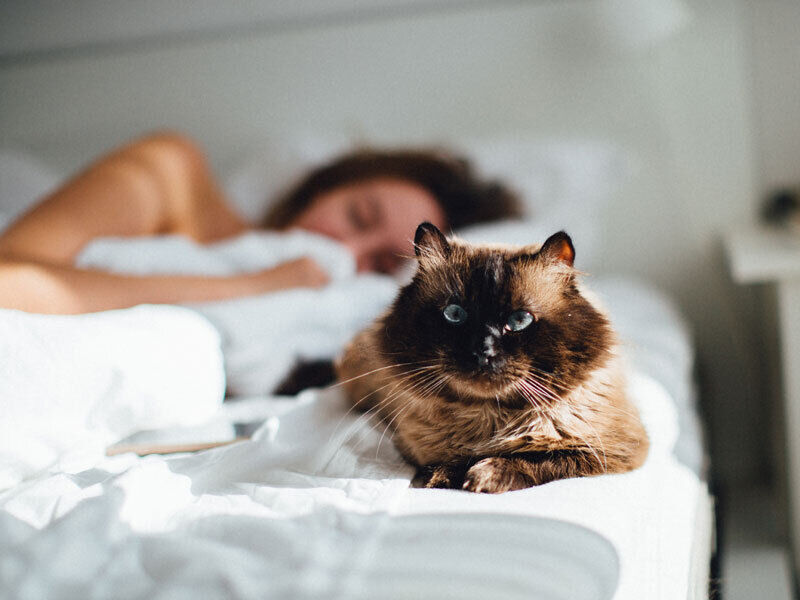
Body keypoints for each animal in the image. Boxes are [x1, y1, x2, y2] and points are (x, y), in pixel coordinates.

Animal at [334, 221, 648, 492]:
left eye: (519, 320)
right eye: (455, 315)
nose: (483, 351)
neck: (489, 419)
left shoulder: (605, 452)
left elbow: (536, 460)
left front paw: (483, 476)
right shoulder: (416, 446)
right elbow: (447, 462)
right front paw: (443, 478)